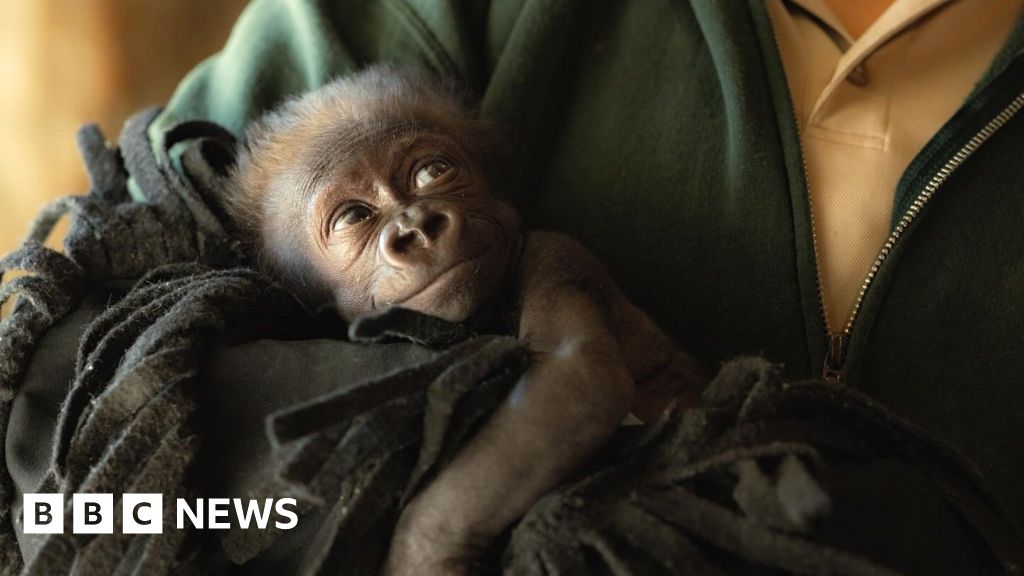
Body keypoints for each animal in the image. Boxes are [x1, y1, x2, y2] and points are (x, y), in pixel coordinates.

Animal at [226, 65, 702, 575]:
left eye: (432, 172)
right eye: (354, 216)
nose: (417, 227)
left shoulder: (554, 255)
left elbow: (578, 377)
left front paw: (427, 550)